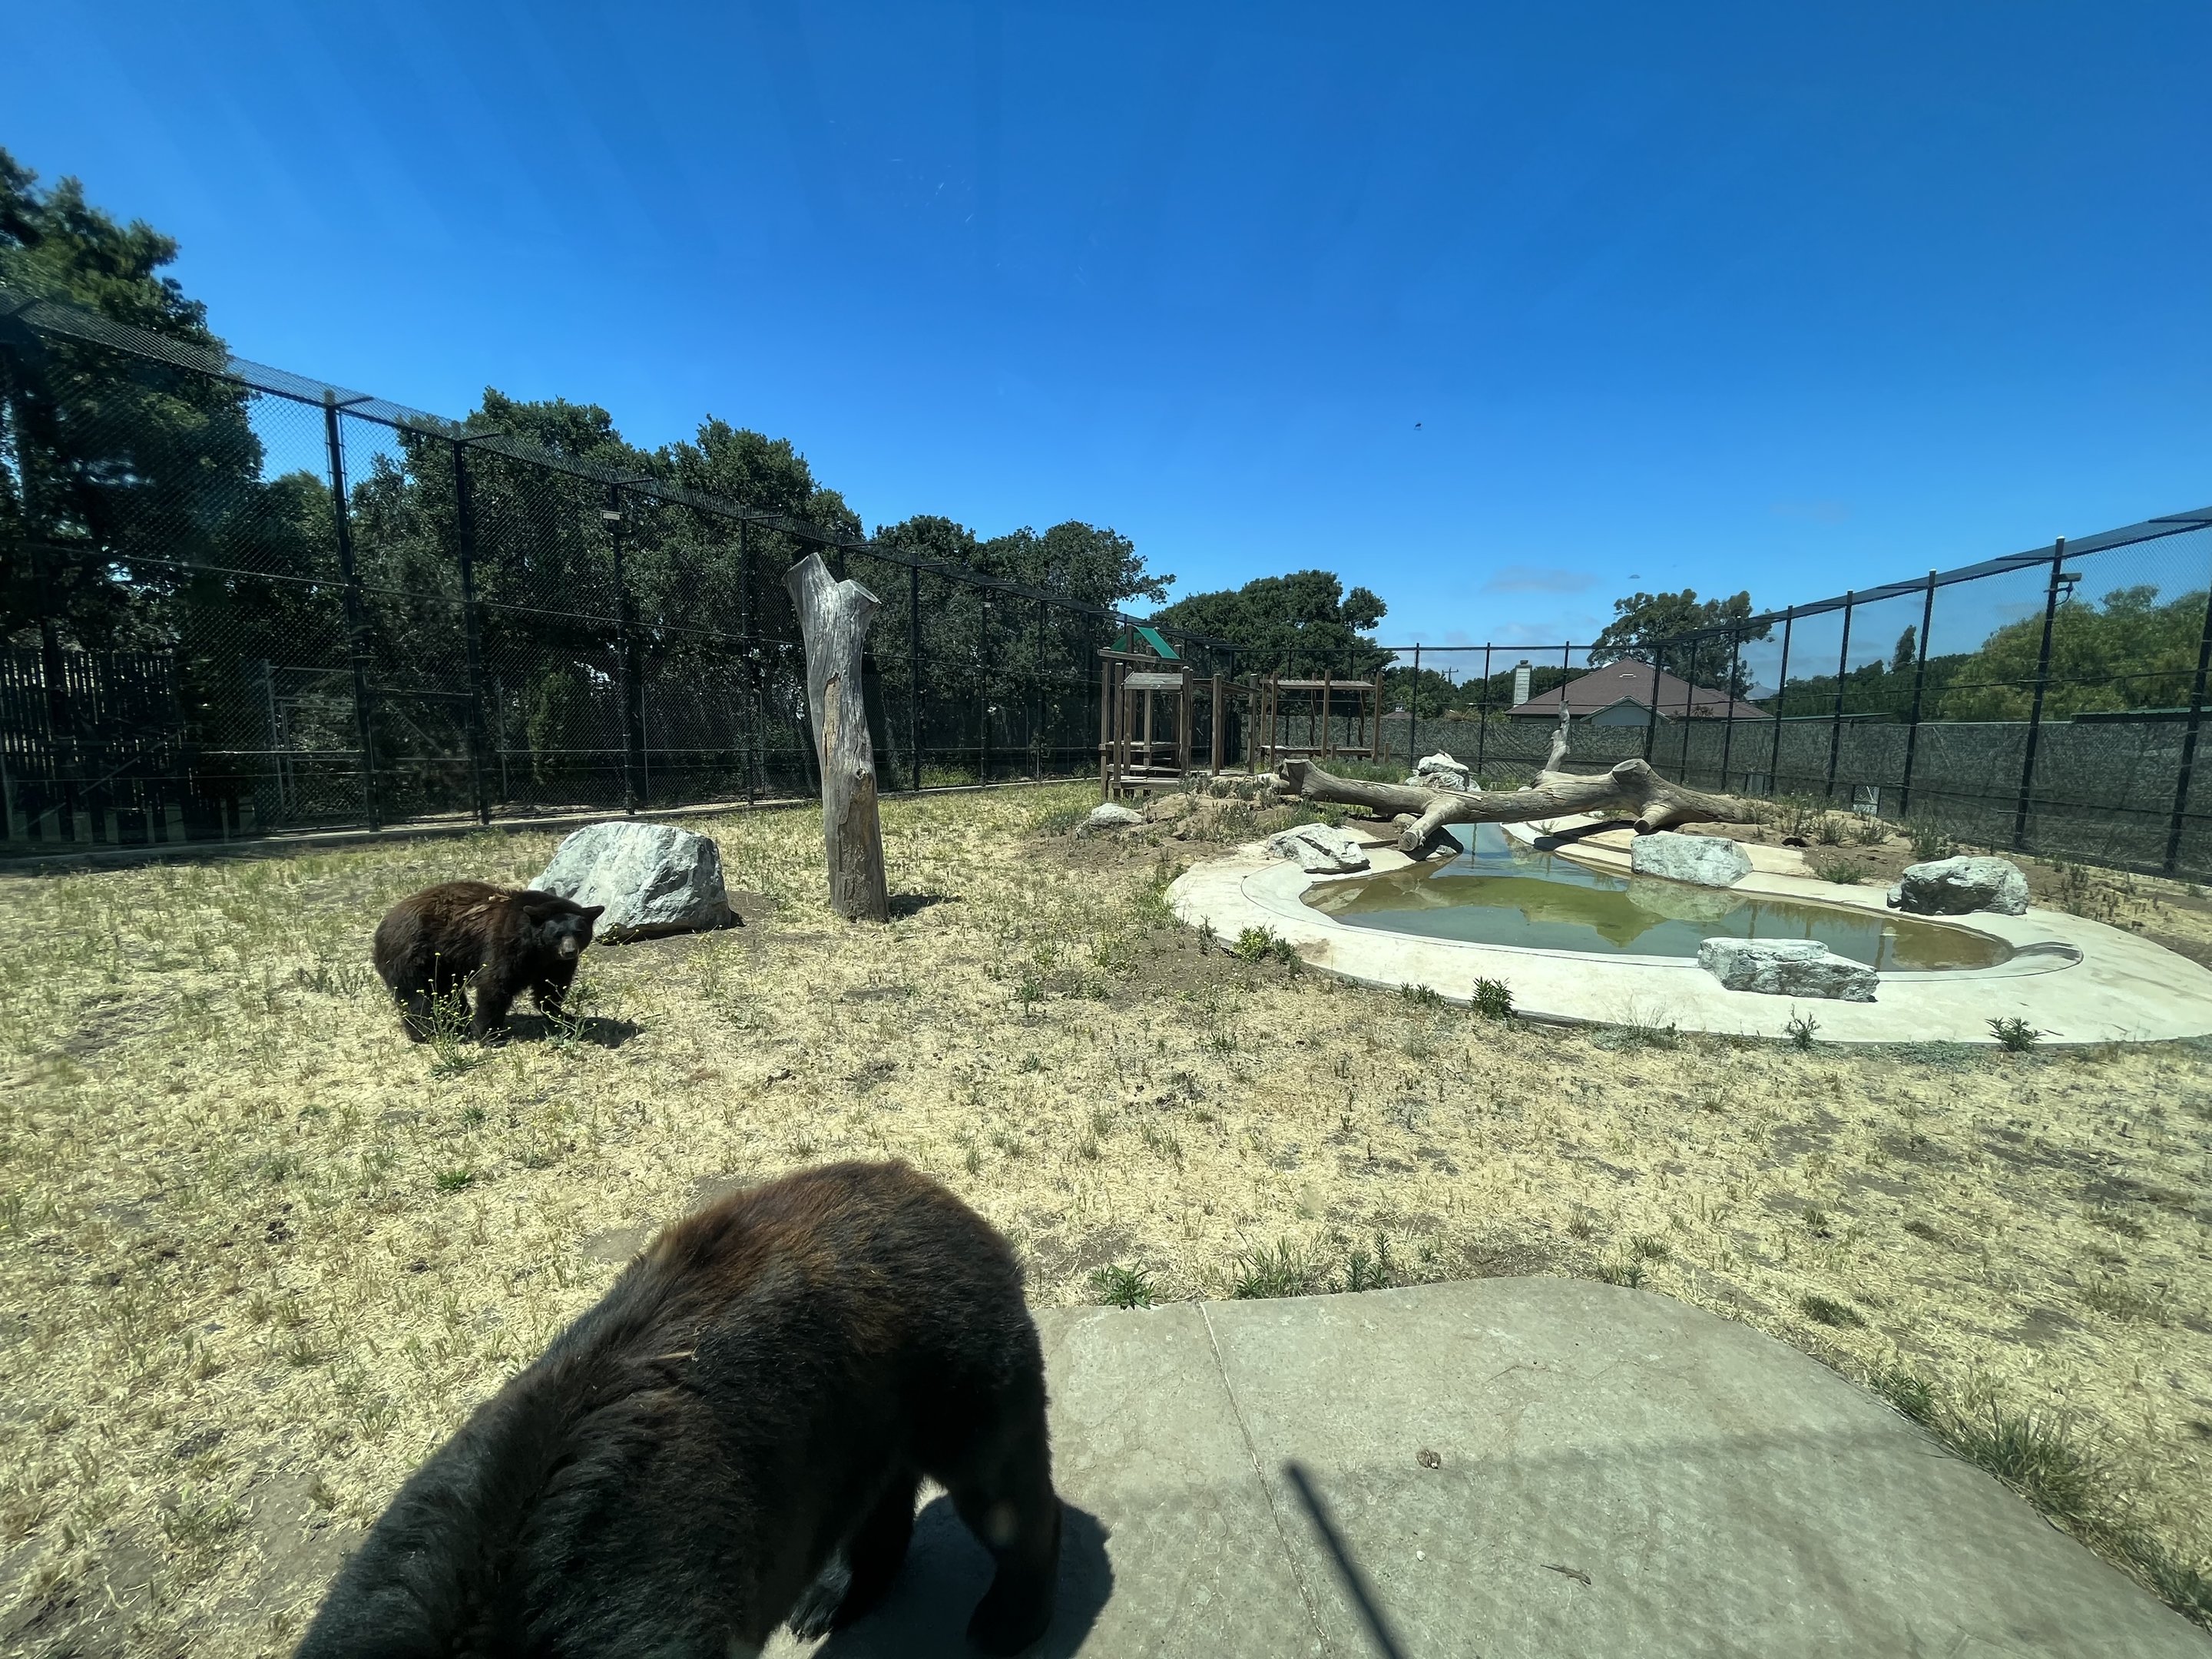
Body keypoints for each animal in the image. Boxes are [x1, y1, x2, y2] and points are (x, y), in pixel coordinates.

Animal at [293, 1161, 1062, 1659]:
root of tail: (924, 1183)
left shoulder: (636, 1600)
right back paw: (832, 1594)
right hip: (867, 1410)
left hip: (959, 1360)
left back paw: (1009, 1616)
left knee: (999, 1487)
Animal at [371, 881, 604, 1043]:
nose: (570, 951)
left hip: (442, 964)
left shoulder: (554, 964)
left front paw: (564, 1017)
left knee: (445, 992)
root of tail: (384, 923)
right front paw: (490, 1035)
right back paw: (428, 1032)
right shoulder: (506, 945)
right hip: (413, 955)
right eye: (557, 934)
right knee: (416, 997)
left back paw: (456, 1023)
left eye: (579, 932)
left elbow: (551, 988)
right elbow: (495, 984)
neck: (538, 950)